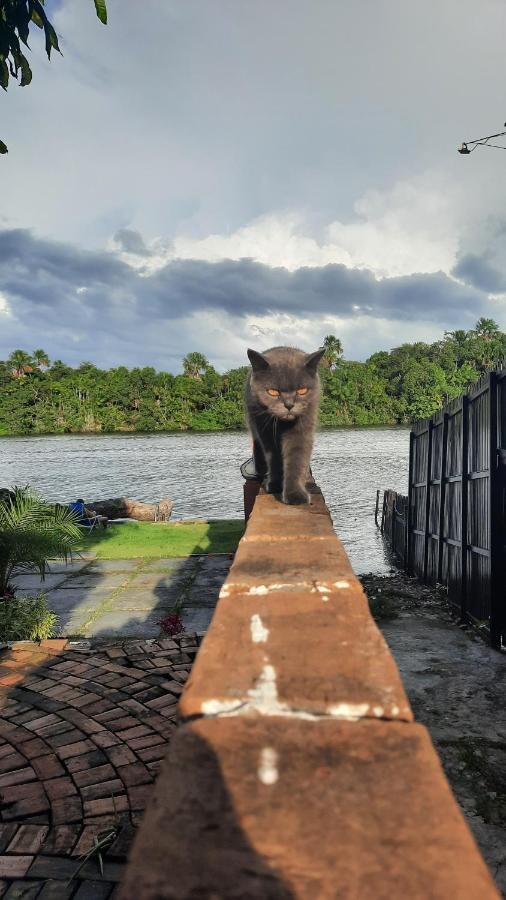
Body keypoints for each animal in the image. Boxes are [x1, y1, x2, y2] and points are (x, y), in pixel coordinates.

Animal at [245, 346, 324, 506]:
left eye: (302, 390)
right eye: (273, 392)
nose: (289, 405)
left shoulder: (302, 427)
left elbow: (297, 459)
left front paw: (295, 495)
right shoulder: (265, 428)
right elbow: (273, 457)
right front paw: (274, 484)